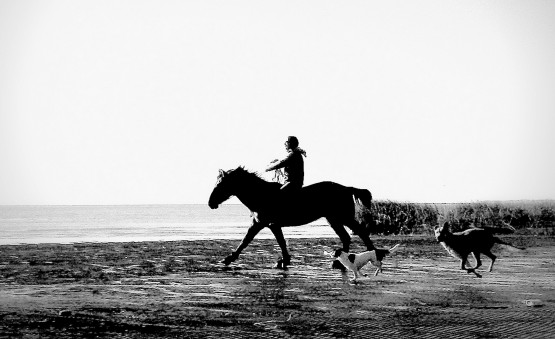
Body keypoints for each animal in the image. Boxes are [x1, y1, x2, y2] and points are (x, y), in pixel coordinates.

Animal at [208, 166, 378, 270]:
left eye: (221, 184)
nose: (210, 203)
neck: (261, 195)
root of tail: (347, 188)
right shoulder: (269, 224)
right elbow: (278, 242)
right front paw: (283, 261)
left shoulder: (264, 223)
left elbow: (246, 241)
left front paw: (228, 259)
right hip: (334, 219)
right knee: (346, 236)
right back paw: (339, 262)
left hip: (343, 217)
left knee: (360, 233)